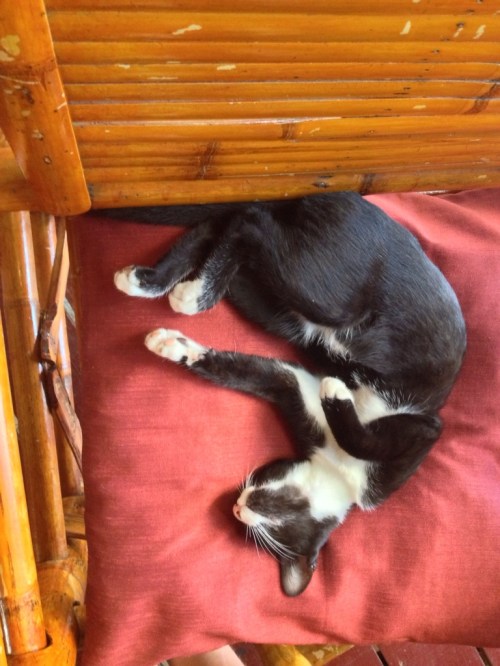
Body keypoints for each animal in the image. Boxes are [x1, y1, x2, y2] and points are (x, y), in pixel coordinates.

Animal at [108, 192, 466, 596]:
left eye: (269, 532)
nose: (238, 507)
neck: (341, 470)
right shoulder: (426, 431)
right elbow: (368, 438)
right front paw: (337, 393)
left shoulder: (293, 384)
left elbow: (241, 369)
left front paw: (173, 347)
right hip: (329, 292)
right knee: (252, 223)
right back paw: (188, 292)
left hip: (272, 305)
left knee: (223, 226)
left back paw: (149, 281)